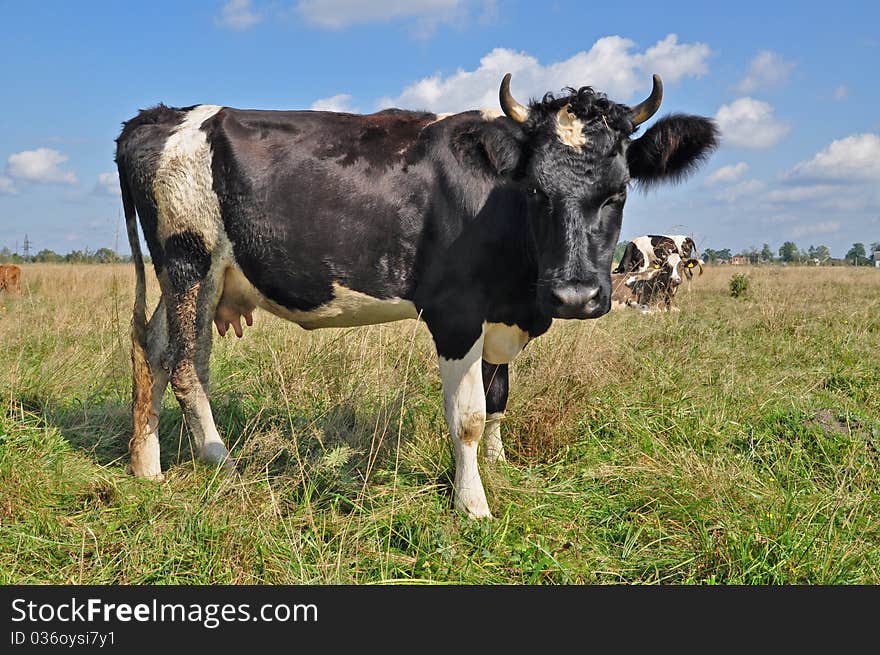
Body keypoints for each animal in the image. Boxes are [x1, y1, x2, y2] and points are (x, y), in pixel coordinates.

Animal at [117, 69, 720, 516]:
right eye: (535, 190)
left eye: (618, 192)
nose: (574, 297)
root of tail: (159, 115)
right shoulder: (456, 314)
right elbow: (469, 416)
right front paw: (472, 504)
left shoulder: (501, 315)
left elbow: (499, 398)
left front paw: (499, 466)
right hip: (190, 258)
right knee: (186, 363)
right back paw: (219, 460)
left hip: (188, 275)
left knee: (153, 348)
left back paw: (146, 466)